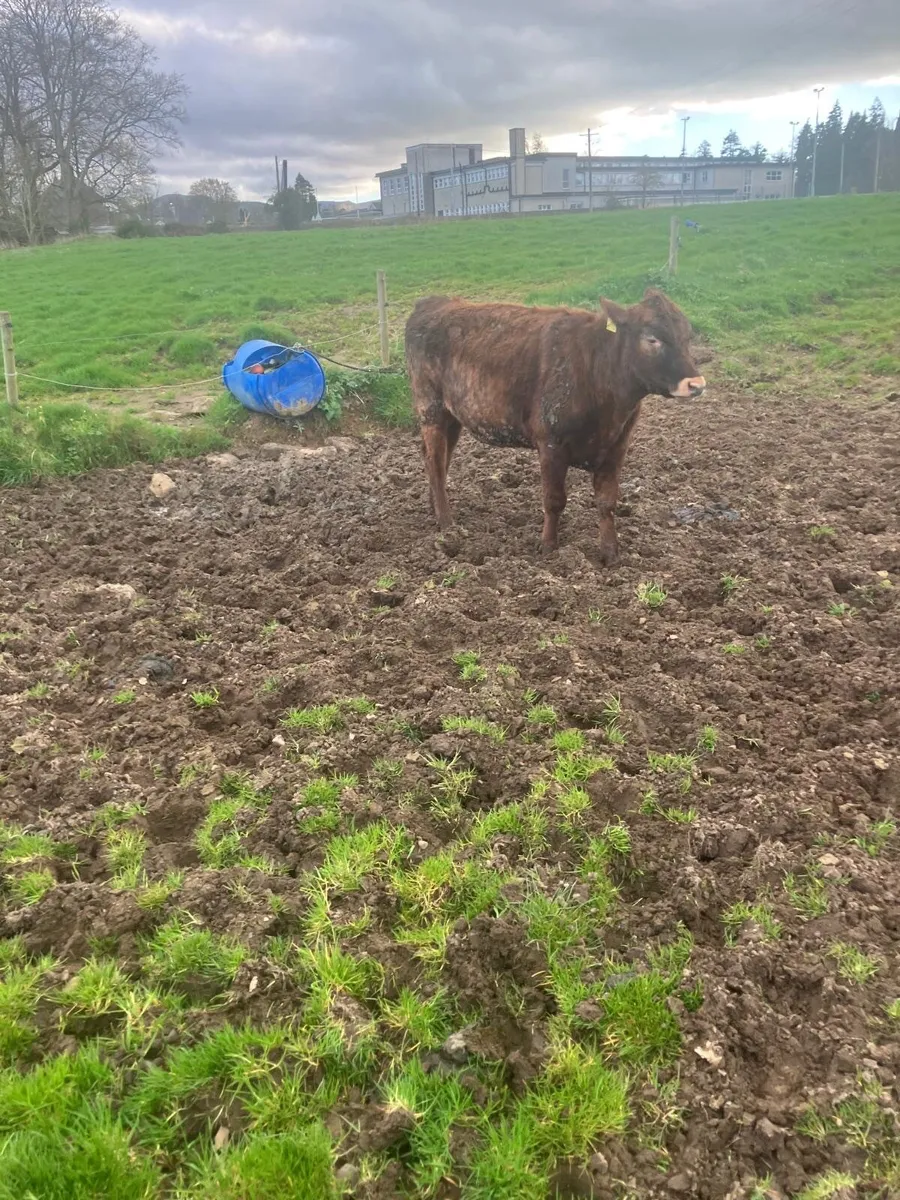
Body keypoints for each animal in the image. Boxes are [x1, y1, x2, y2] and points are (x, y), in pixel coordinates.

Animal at [405, 289, 705, 564]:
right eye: (652, 338)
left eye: (687, 337)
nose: (696, 384)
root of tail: (433, 302)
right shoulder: (551, 444)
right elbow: (554, 500)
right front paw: (549, 546)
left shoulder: (617, 446)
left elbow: (607, 502)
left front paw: (610, 553)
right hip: (431, 408)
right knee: (434, 461)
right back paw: (446, 522)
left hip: (452, 416)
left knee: (438, 459)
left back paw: (434, 507)